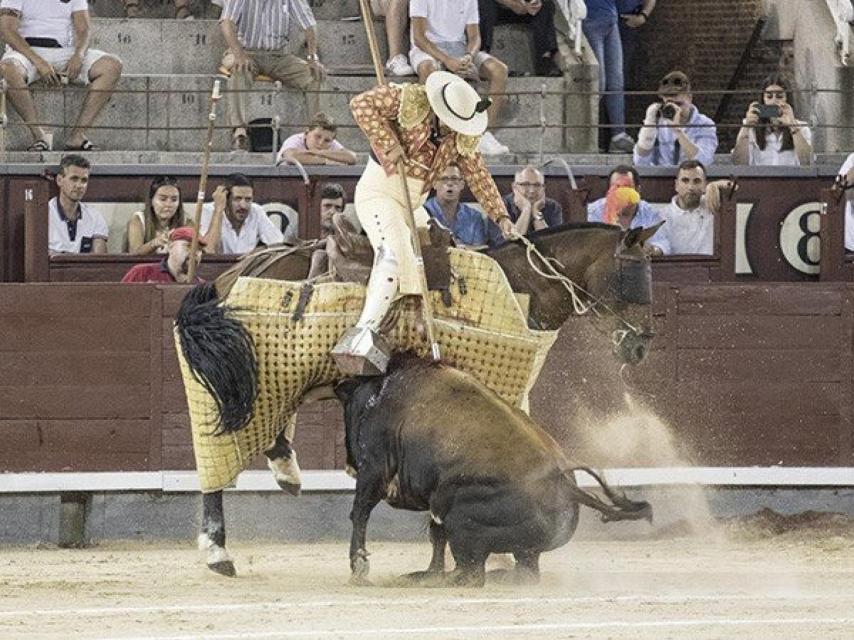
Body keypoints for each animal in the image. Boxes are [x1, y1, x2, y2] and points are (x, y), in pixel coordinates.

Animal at [334, 352, 656, 588]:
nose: (348, 461)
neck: (380, 393)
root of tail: (563, 483)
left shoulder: (374, 467)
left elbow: (360, 512)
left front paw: (358, 567)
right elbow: (435, 534)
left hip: (462, 522)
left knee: (472, 572)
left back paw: (450, 579)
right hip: (522, 547)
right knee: (524, 570)